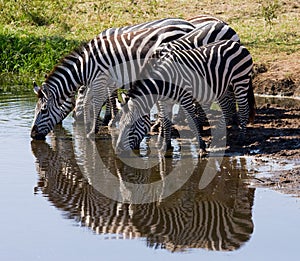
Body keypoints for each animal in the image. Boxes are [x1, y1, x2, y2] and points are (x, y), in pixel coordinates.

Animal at [30, 21, 195, 140]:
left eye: (43, 110)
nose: (32, 135)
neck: (85, 67)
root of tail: (190, 26)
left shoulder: (100, 80)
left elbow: (99, 101)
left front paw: (94, 129)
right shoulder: (107, 80)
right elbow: (105, 98)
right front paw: (104, 122)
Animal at [116, 39, 254, 155]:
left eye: (130, 127)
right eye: (120, 125)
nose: (117, 150)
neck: (163, 82)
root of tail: (237, 44)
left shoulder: (185, 98)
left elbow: (192, 122)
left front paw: (202, 147)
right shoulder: (165, 102)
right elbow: (166, 122)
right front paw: (166, 146)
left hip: (240, 80)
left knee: (244, 109)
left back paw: (241, 138)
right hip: (222, 87)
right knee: (227, 110)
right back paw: (217, 137)